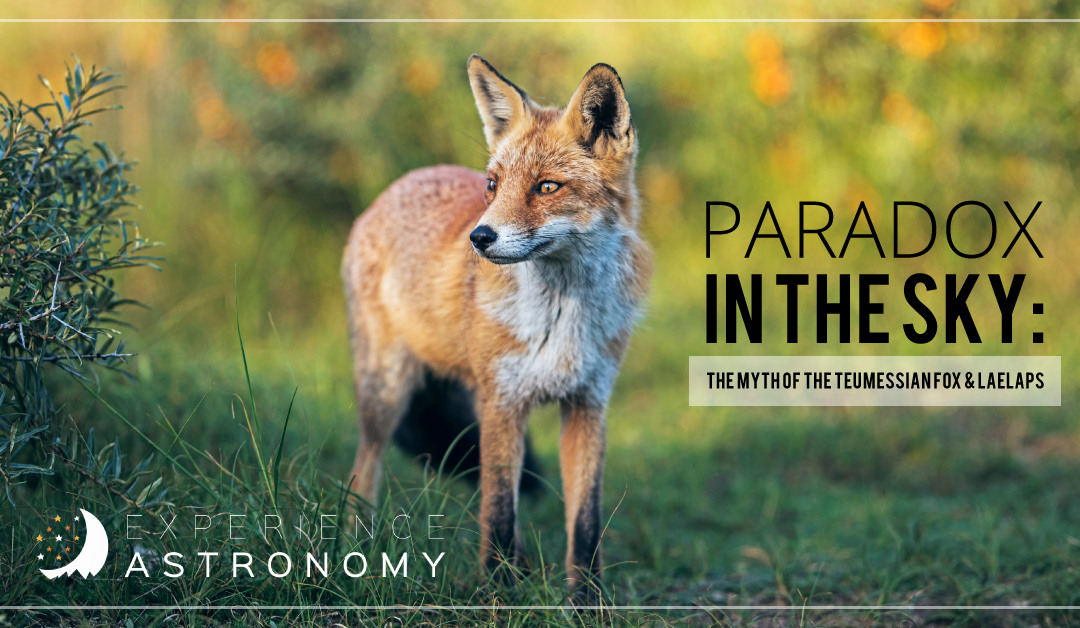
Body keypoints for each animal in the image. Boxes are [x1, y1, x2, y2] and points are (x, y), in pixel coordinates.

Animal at [342, 55, 651, 597]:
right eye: (493, 185)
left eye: (546, 187)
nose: (479, 237)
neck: (560, 317)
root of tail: (396, 186)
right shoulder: (505, 402)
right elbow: (500, 513)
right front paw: (499, 596)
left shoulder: (587, 405)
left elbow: (584, 525)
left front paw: (585, 602)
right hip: (388, 393)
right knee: (366, 470)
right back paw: (357, 552)